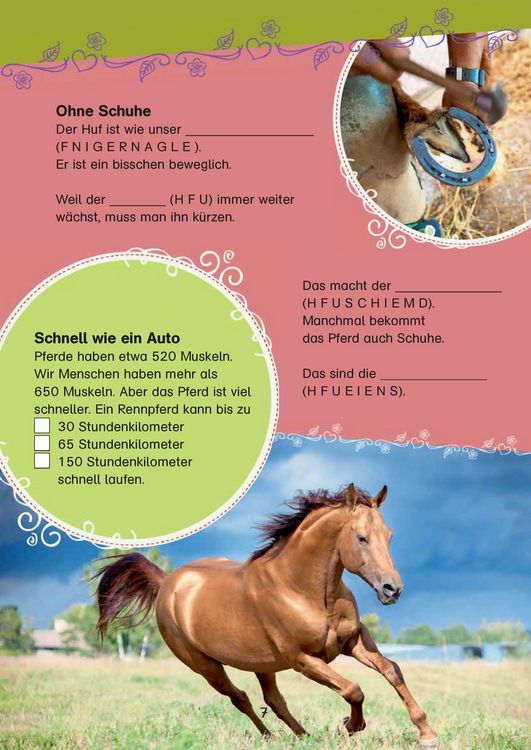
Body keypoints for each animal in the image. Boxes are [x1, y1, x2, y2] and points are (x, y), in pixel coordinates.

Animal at [95, 483, 438, 747]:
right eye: (361, 537)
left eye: (389, 536)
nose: (392, 589)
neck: (301, 589)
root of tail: (167, 582)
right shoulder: (303, 660)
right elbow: (353, 690)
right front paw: (347, 727)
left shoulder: (353, 641)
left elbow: (392, 671)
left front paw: (427, 733)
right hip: (205, 666)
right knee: (240, 698)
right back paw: (272, 737)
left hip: (262, 663)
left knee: (273, 700)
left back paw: (305, 737)